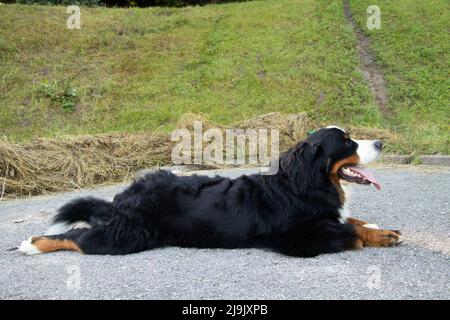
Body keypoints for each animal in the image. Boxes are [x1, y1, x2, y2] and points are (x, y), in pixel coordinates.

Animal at [19, 126, 402, 256]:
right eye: (347, 142)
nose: (381, 142)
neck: (306, 184)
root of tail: (126, 195)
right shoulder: (299, 237)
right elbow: (348, 230)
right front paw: (375, 236)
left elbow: (354, 220)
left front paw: (382, 231)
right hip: (129, 236)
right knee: (79, 238)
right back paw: (33, 244)